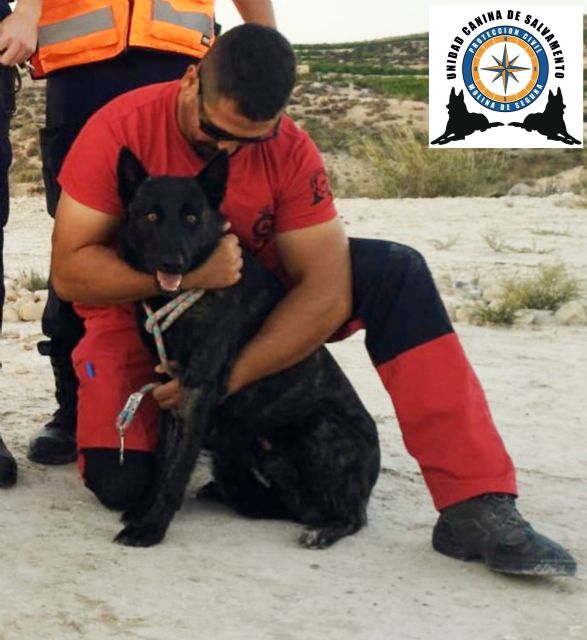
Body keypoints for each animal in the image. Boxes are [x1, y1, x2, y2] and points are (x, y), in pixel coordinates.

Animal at [115, 148, 382, 548]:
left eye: (192, 218)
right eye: (151, 216)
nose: (172, 262)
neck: (182, 300)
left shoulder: (196, 391)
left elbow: (177, 470)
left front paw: (152, 527)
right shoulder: (167, 388)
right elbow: (163, 459)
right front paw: (144, 508)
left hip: (319, 427)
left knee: (355, 517)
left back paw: (325, 530)